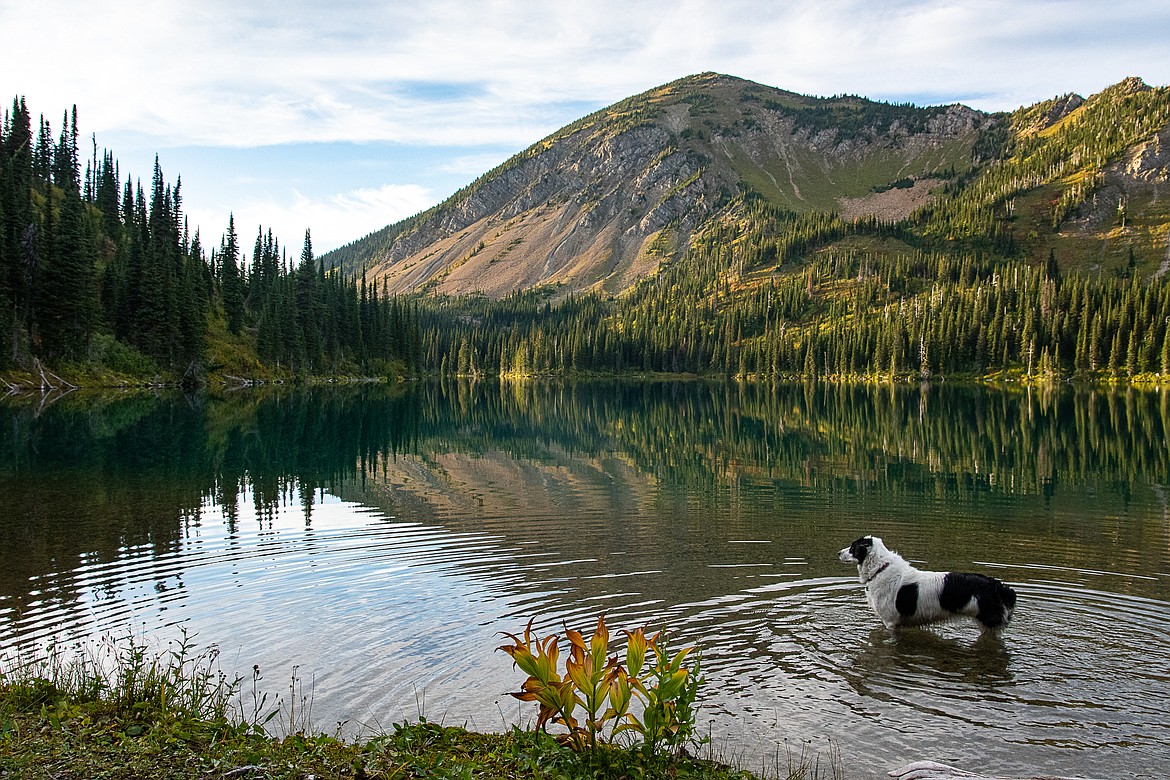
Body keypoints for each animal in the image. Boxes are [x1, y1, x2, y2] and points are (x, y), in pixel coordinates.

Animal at [842, 533, 1015, 631]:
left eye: (852, 547)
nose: (838, 552)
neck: (880, 568)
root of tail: (996, 586)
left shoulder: (890, 622)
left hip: (989, 623)